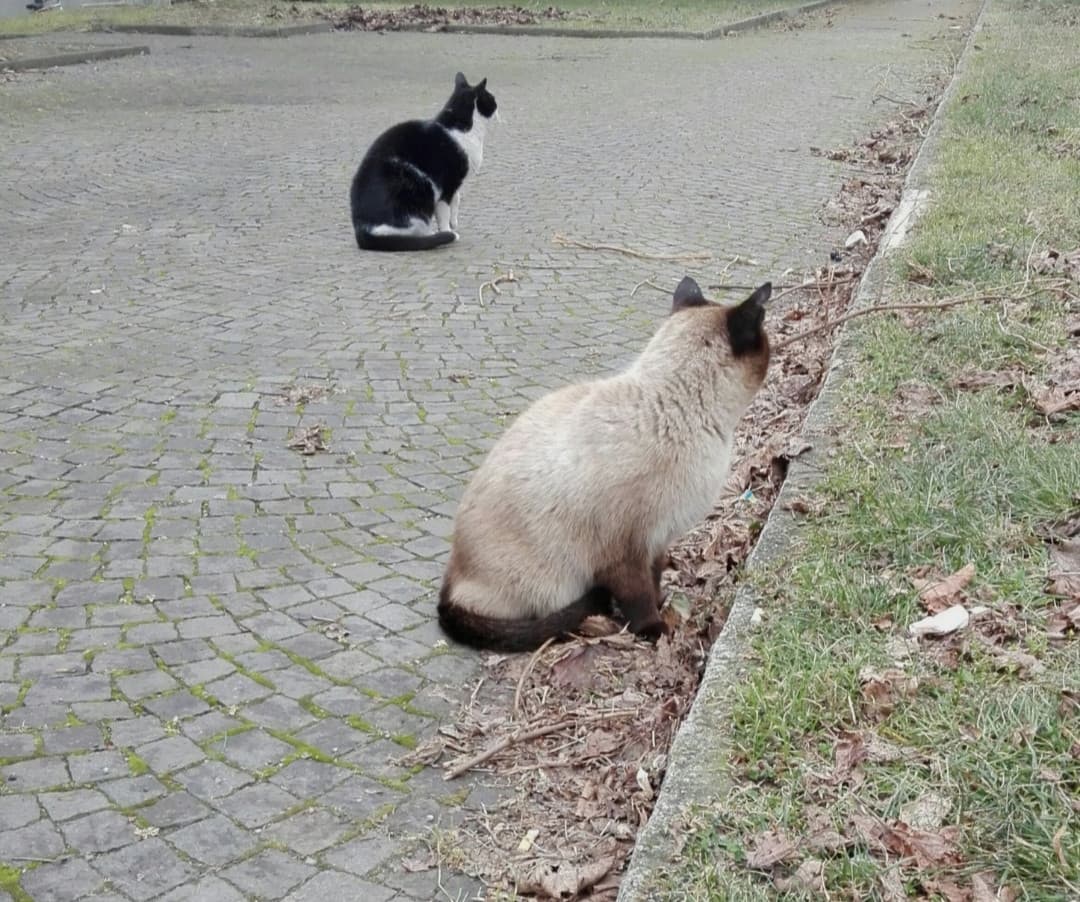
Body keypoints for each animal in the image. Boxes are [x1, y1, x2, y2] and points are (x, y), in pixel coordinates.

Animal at [349, 71, 496, 250]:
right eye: (492, 98)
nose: (498, 105)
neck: (461, 128)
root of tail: (362, 230)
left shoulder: (455, 184)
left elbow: (457, 199)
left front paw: (454, 222)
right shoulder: (447, 184)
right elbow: (444, 211)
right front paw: (448, 230)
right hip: (418, 187)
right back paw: (433, 235)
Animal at [438, 275, 777, 648]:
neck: (678, 414)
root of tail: (449, 586)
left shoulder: (657, 540)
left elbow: (654, 578)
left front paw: (663, 602)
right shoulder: (625, 552)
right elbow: (638, 596)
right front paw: (655, 629)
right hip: (553, 582)